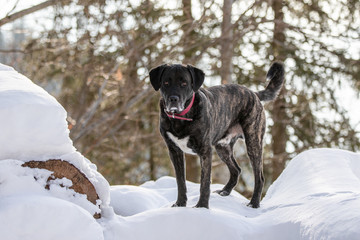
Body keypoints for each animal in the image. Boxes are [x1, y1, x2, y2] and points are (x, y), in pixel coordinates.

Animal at [148, 62, 284, 208]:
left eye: (184, 83)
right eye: (166, 83)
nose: (173, 98)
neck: (180, 119)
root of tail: (254, 93)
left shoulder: (205, 151)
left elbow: (204, 182)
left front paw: (201, 206)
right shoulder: (174, 151)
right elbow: (180, 181)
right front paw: (180, 204)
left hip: (253, 142)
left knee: (259, 177)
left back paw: (254, 203)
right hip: (222, 147)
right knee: (236, 170)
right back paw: (225, 191)